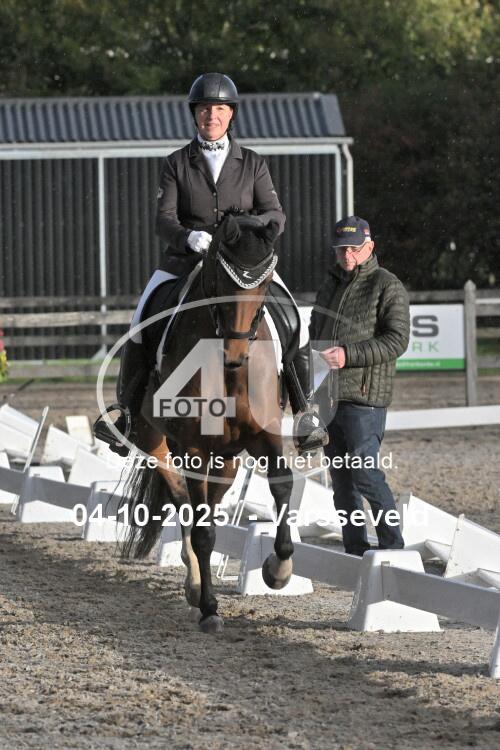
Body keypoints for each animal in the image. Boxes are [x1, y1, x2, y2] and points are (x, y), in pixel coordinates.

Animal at [121, 214, 296, 633]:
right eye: (220, 279)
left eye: (264, 282)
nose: (236, 353)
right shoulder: (194, 448)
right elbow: (202, 532)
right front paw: (210, 608)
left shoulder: (265, 435)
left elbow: (282, 485)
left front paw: (277, 569)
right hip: (155, 440)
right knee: (185, 504)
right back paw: (196, 585)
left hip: (227, 459)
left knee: (205, 506)